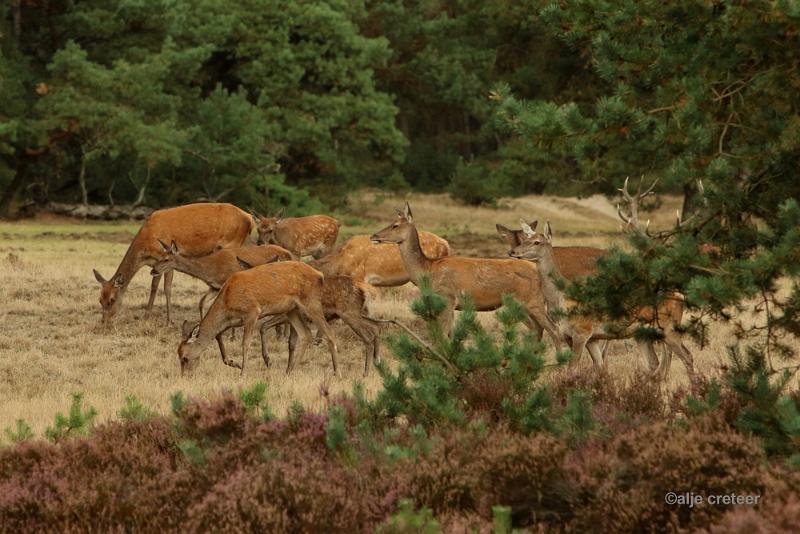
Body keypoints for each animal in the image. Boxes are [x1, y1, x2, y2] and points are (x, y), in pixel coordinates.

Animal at [150, 241, 294, 320]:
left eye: (166, 259)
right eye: (160, 256)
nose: (153, 271)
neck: (211, 270)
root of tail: (289, 254)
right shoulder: (214, 287)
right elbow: (201, 302)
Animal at [177, 262, 340, 378]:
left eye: (185, 358)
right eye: (178, 355)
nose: (185, 377)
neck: (227, 302)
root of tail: (320, 275)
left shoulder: (252, 312)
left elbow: (245, 343)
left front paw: (243, 373)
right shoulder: (231, 322)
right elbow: (218, 336)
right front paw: (233, 363)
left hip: (311, 303)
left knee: (330, 333)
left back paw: (337, 373)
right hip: (292, 310)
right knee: (305, 334)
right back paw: (290, 372)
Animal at [372, 202, 560, 348]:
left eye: (396, 224)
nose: (374, 235)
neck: (427, 270)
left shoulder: (447, 299)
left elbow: (442, 338)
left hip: (533, 301)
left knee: (554, 329)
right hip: (520, 305)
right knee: (537, 329)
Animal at [512, 222, 692, 386]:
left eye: (537, 242)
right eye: (525, 239)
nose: (512, 251)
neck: (561, 301)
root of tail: (681, 295)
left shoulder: (582, 332)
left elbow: (572, 369)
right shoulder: (584, 337)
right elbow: (600, 368)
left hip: (667, 327)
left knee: (686, 355)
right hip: (643, 335)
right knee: (653, 362)